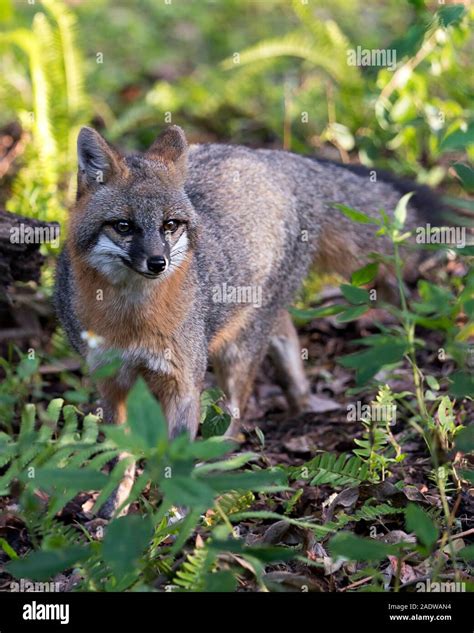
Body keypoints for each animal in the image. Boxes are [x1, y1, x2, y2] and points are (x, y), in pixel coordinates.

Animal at [56, 123, 444, 512]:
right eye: (123, 226)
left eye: (170, 225)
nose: (157, 263)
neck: (132, 320)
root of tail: (274, 159)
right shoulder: (111, 383)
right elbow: (118, 459)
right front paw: (113, 510)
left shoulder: (184, 384)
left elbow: (174, 459)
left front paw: (174, 514)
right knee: (285, 331)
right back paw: (300, 397)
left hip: (237, 349)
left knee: (236, 414)